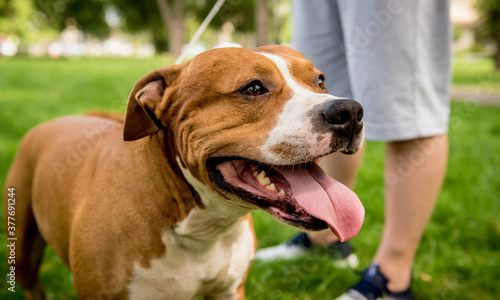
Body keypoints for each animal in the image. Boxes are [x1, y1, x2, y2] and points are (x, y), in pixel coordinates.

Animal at [3, 45, 364, 300]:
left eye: (320, 81)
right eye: (252, 88)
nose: (350, 111)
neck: (201, 229)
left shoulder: (229, 291)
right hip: (23, 249)